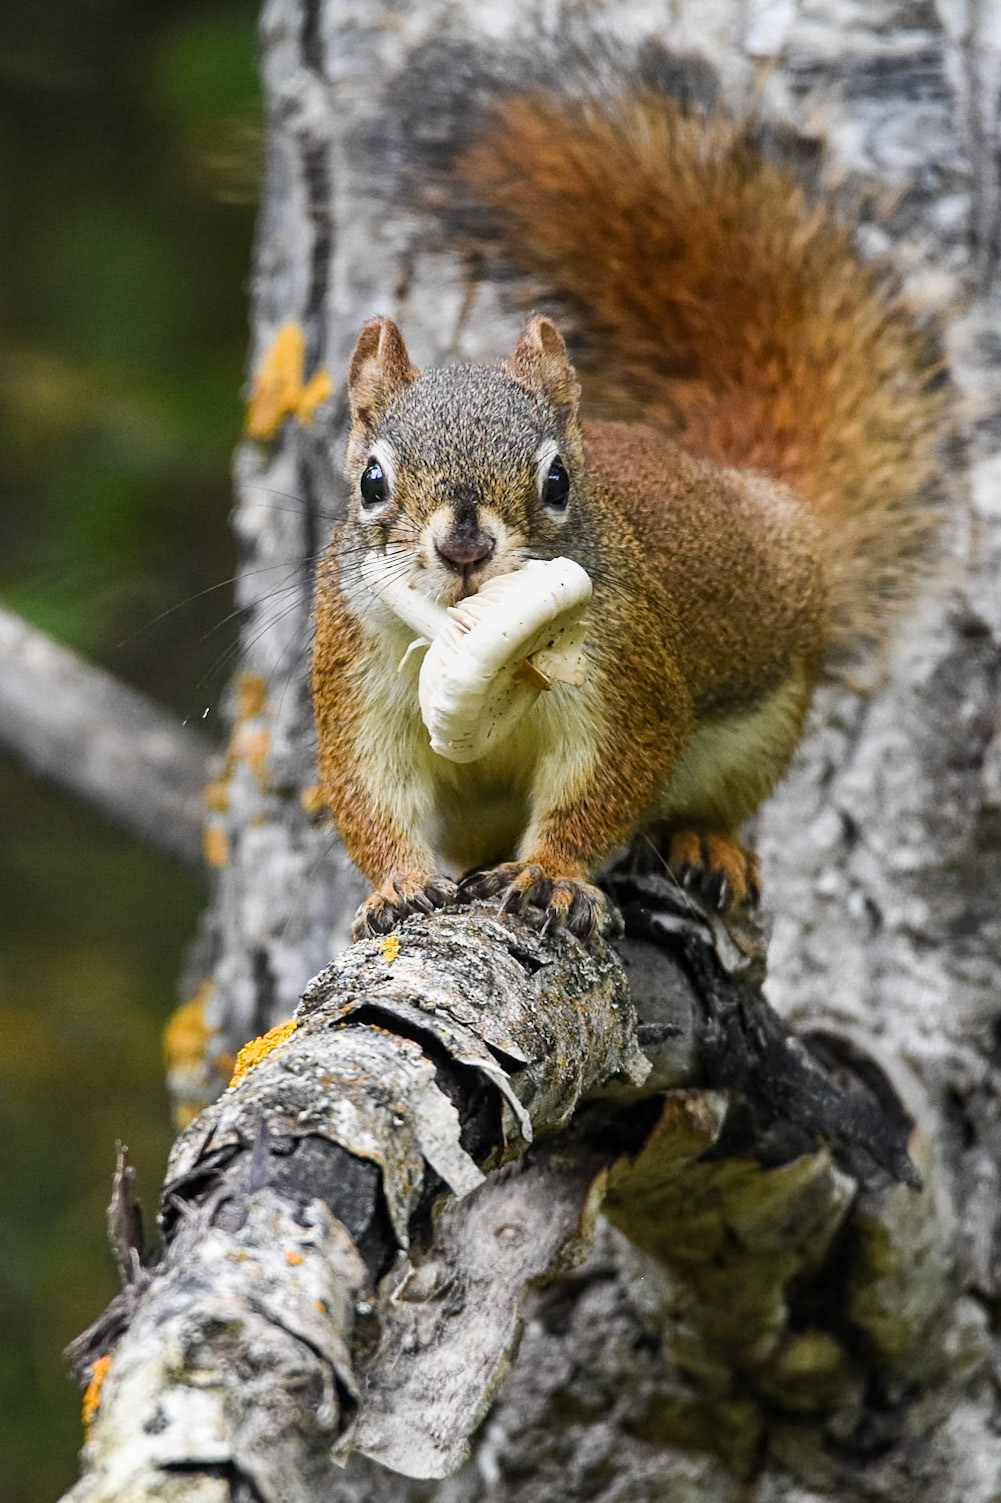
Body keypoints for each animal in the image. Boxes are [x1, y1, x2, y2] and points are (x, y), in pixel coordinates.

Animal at [311, 84, 941, 942]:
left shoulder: (623, 671)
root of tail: (753, 488)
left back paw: (708, 843)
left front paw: (552, 876)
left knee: (718, 803)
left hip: (763, 722)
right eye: (371, 481)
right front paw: (398, 886)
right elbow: (370, 791)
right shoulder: (358, 677)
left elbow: (602, 782)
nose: (465, 545)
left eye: (557, 481)